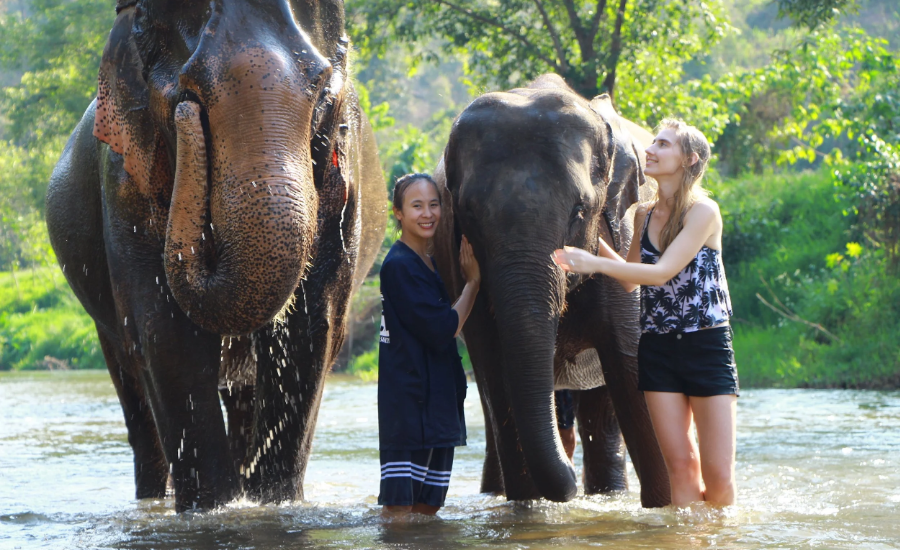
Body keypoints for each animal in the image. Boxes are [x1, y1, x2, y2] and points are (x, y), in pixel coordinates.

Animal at [45, 0, 385, 512]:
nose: (188, 117)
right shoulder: (123, 181)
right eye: (187, 96)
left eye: (324, 96)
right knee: (130, 383)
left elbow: (312, 329)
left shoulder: (345, 187)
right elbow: (166, 334)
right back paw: (155, 499)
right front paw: (214, 508)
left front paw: (273, 504)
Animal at [432, 74, 670, 507]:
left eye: (580, 210)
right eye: (469, 214)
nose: (568, 486)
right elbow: (496, 374)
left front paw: (670, 506)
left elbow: (630, 367)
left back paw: (607, 495)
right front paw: (527, 509)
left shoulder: (624, 236)